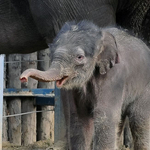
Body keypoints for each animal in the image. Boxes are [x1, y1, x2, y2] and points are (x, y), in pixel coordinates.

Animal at [20, 20, 150, 149]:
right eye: (51, 54)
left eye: (79, 57)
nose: (23, 78)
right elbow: (79, 117)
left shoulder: (113, 77)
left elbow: (104, 116)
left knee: (139, 120)